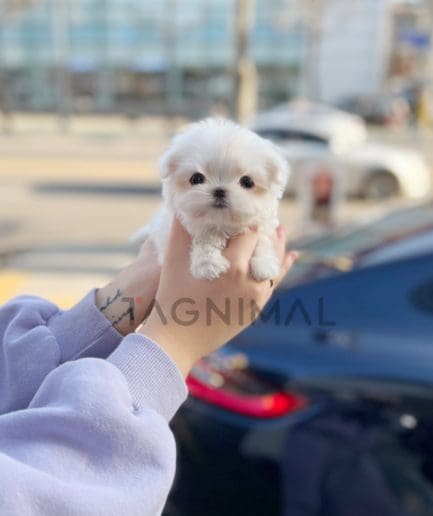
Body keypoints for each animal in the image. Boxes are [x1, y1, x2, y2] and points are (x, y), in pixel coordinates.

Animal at [132, 117, 286, 280]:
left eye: (247, 182)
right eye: (196, 178)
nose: (219, 191)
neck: (221, 224)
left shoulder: (262, 226)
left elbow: (263, 241)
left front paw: (265, 264)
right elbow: (204, 241)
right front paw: (207, 264)